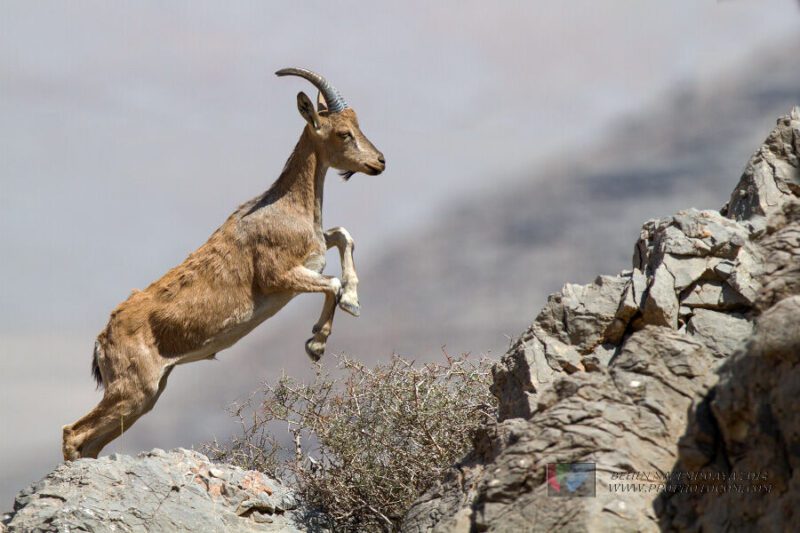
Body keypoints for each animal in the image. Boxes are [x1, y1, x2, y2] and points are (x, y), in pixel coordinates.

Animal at [61, 68, 386, 462]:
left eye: (358, 124)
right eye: (343, 132)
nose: (380, 162)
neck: (287, 206)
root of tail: (101, 340)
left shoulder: (313, 255)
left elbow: (342, 236)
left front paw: (351, 302)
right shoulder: (280, 276)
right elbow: (332, 282)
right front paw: (318, 342)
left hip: (146, 395)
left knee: (91, 442)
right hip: (133, 388)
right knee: (74, 433)